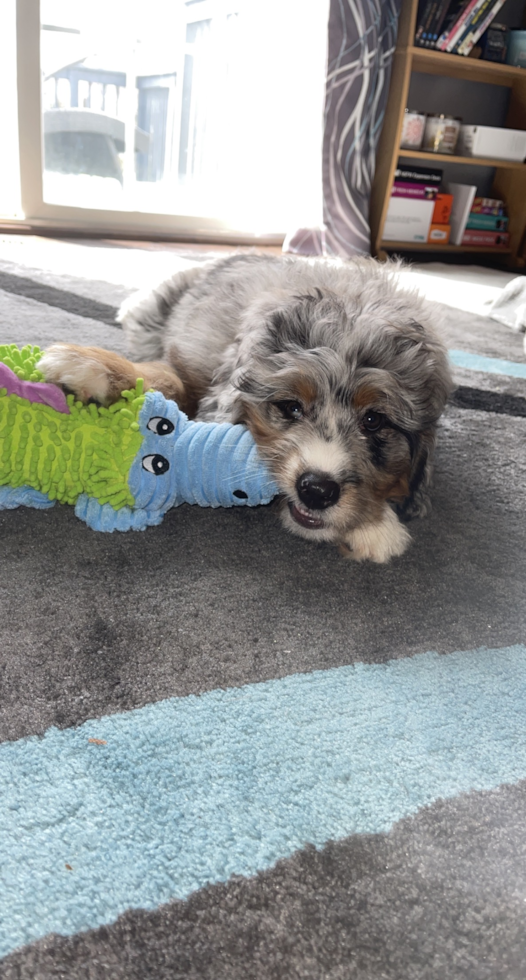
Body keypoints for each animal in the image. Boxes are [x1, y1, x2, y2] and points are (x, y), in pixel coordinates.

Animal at [39, 249, 456, 564]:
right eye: (290, 407)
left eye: (373, 420)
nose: (316, 491)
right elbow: (168, 379)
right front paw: (89, 368)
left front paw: (375, 525)